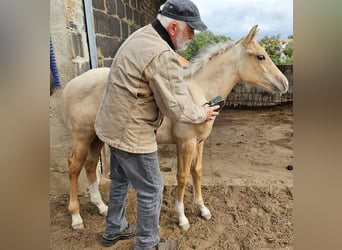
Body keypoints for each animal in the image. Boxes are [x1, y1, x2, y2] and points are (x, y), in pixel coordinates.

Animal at [62, 25, 288, 230]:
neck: (198, 92)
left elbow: (197, 171)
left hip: (97, 137)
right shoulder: (185, 143)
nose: (284, 83)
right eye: (260, 56)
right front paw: (182, 218)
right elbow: (183, 176)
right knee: (74, 165)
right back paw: (76, 217)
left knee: (90, 164)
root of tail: (71, 85)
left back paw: (101, 207)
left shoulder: (199, 143)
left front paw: (203, 209)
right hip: (82, 136)